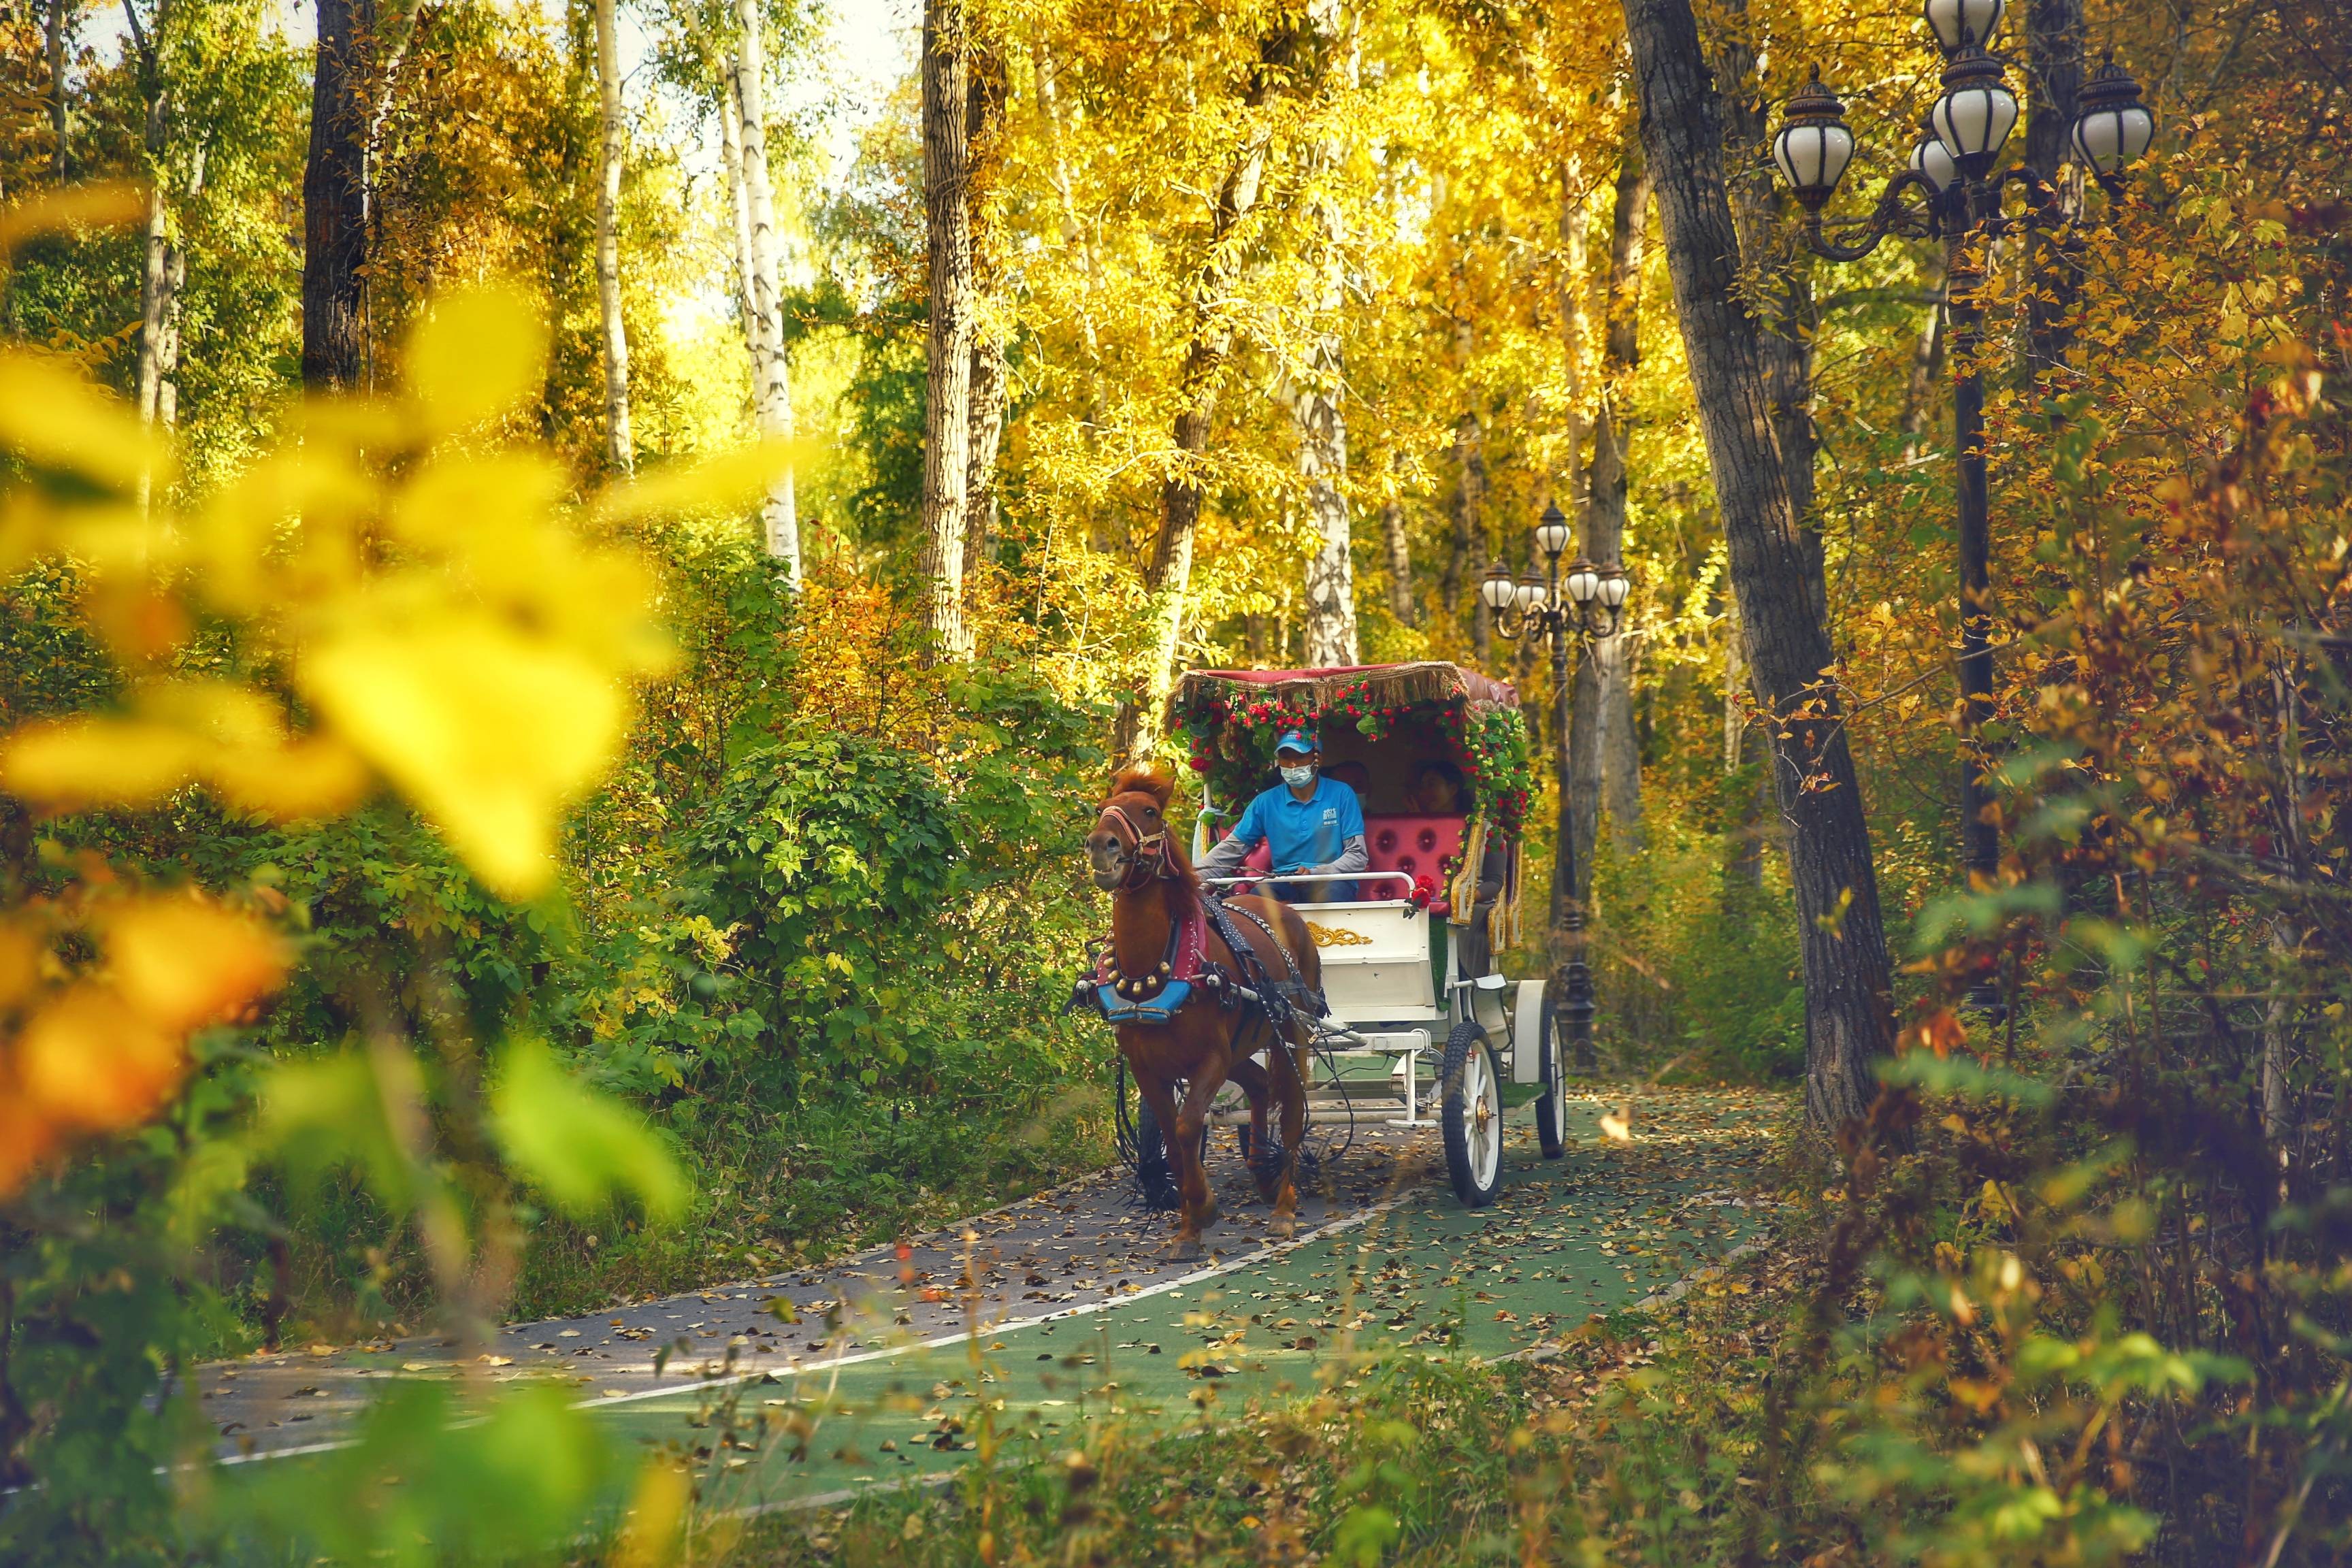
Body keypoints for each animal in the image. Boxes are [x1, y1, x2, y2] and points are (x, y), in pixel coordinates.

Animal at [1086, 762, 1326, 1250]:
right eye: (1102, 809)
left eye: (1151, 811)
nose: (1102, 845)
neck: (1152, 971)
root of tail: (1285, 910)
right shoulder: (1147, 1068)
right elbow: (1174, 1141)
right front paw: (1187, 1229)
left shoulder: (1210, 1059)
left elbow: (1186, 1126)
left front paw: (1204, 1207)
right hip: (1242, 1047)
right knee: (1259, 1086)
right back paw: (1262, 1170)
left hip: (1292, 1033)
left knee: (1292, 1112)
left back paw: (1284, 1208)